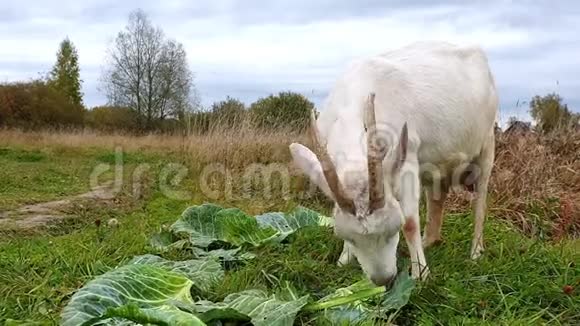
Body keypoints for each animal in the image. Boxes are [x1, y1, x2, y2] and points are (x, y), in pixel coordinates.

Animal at [290, 40, 498, 286]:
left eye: (393, 230)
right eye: (347, 237)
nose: (383, 279)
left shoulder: (407, 155)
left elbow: (410, 221)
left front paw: (421, 274)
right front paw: (344, 259)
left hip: (487, 141)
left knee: (481, 198)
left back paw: (475, 251)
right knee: (437, 193)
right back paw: (429, 240)